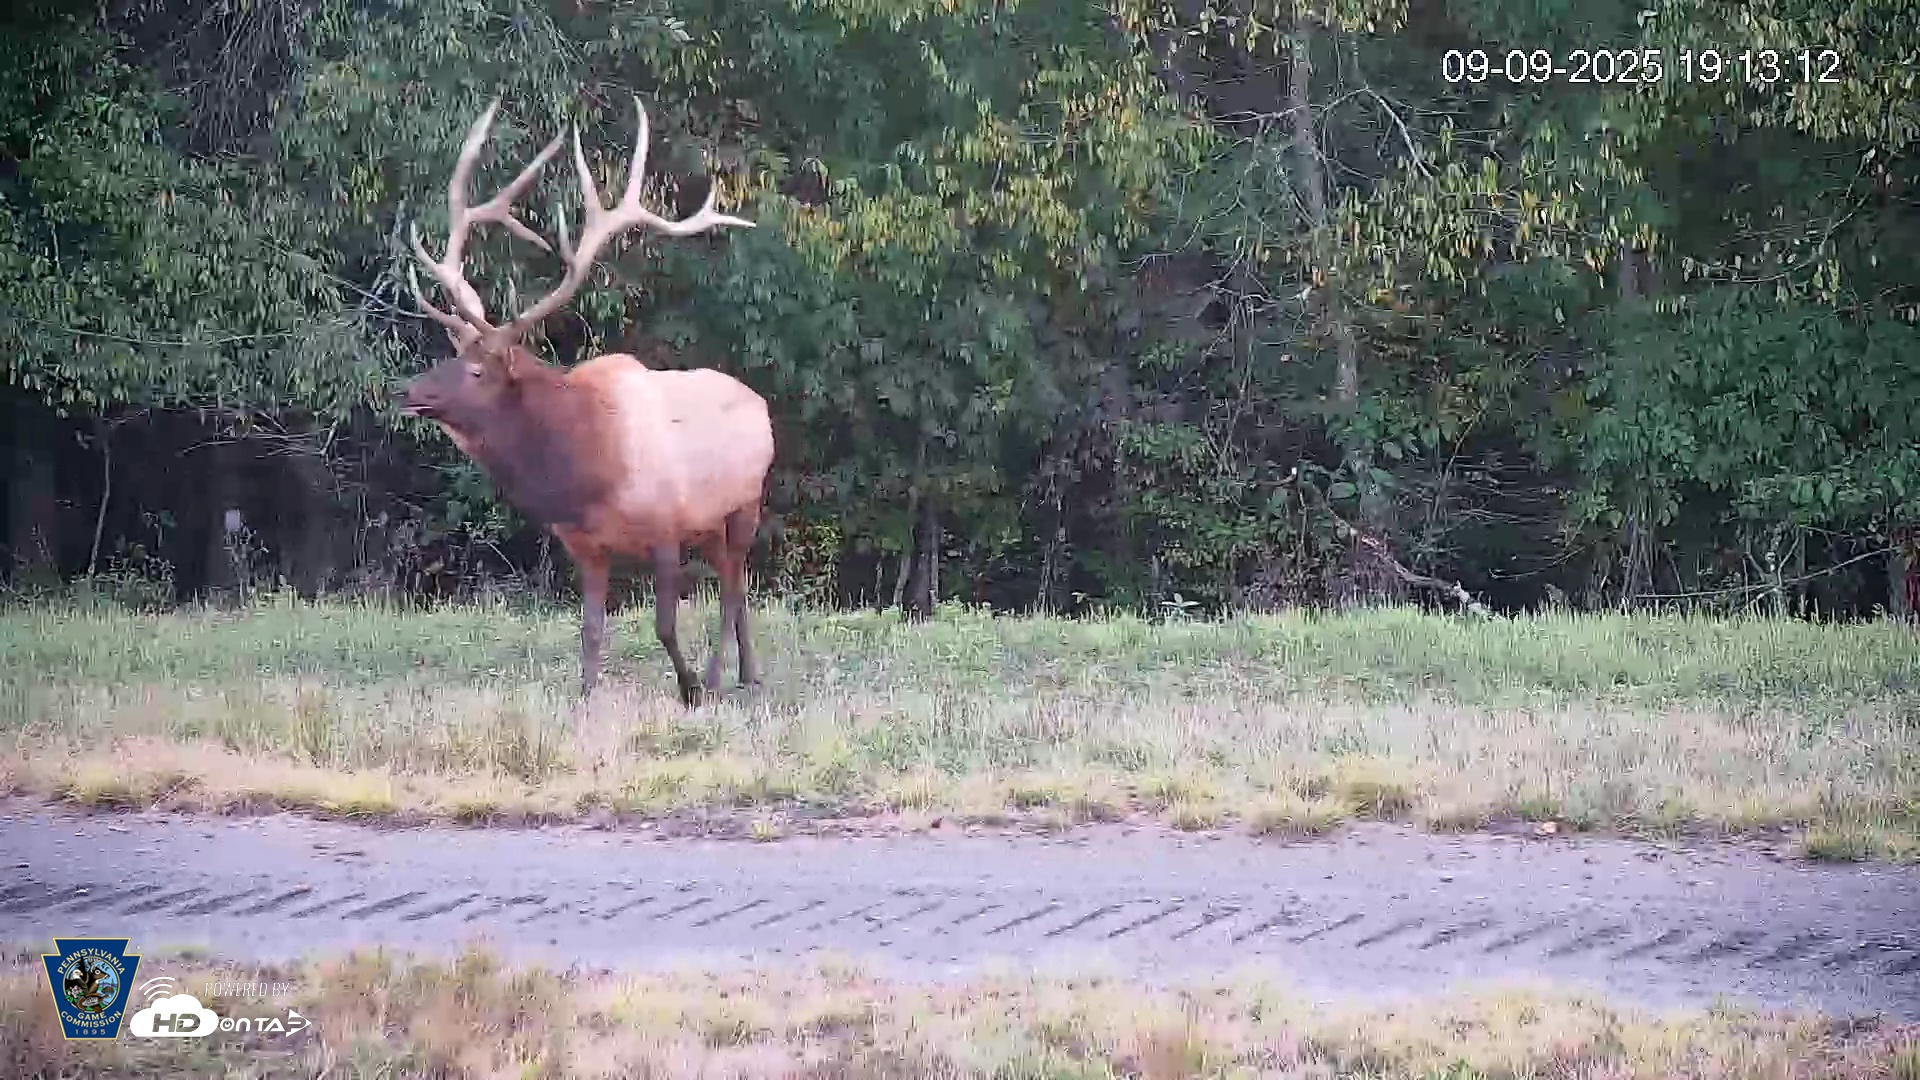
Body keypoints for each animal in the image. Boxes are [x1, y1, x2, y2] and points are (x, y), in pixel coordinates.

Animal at [397, 95, 770, 707]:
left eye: (476, 369)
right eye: (450, 355)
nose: (408, 392)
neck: (586, 474)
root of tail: (760, 403)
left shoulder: (665, 527)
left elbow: (665, 623)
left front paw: (690, 688)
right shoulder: (585, 547)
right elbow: (591, 629)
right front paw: (587, 695)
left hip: (746, 503)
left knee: (734, 588)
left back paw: (721, 676)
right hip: (715, 521)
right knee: (734, 586)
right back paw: (749, 672)